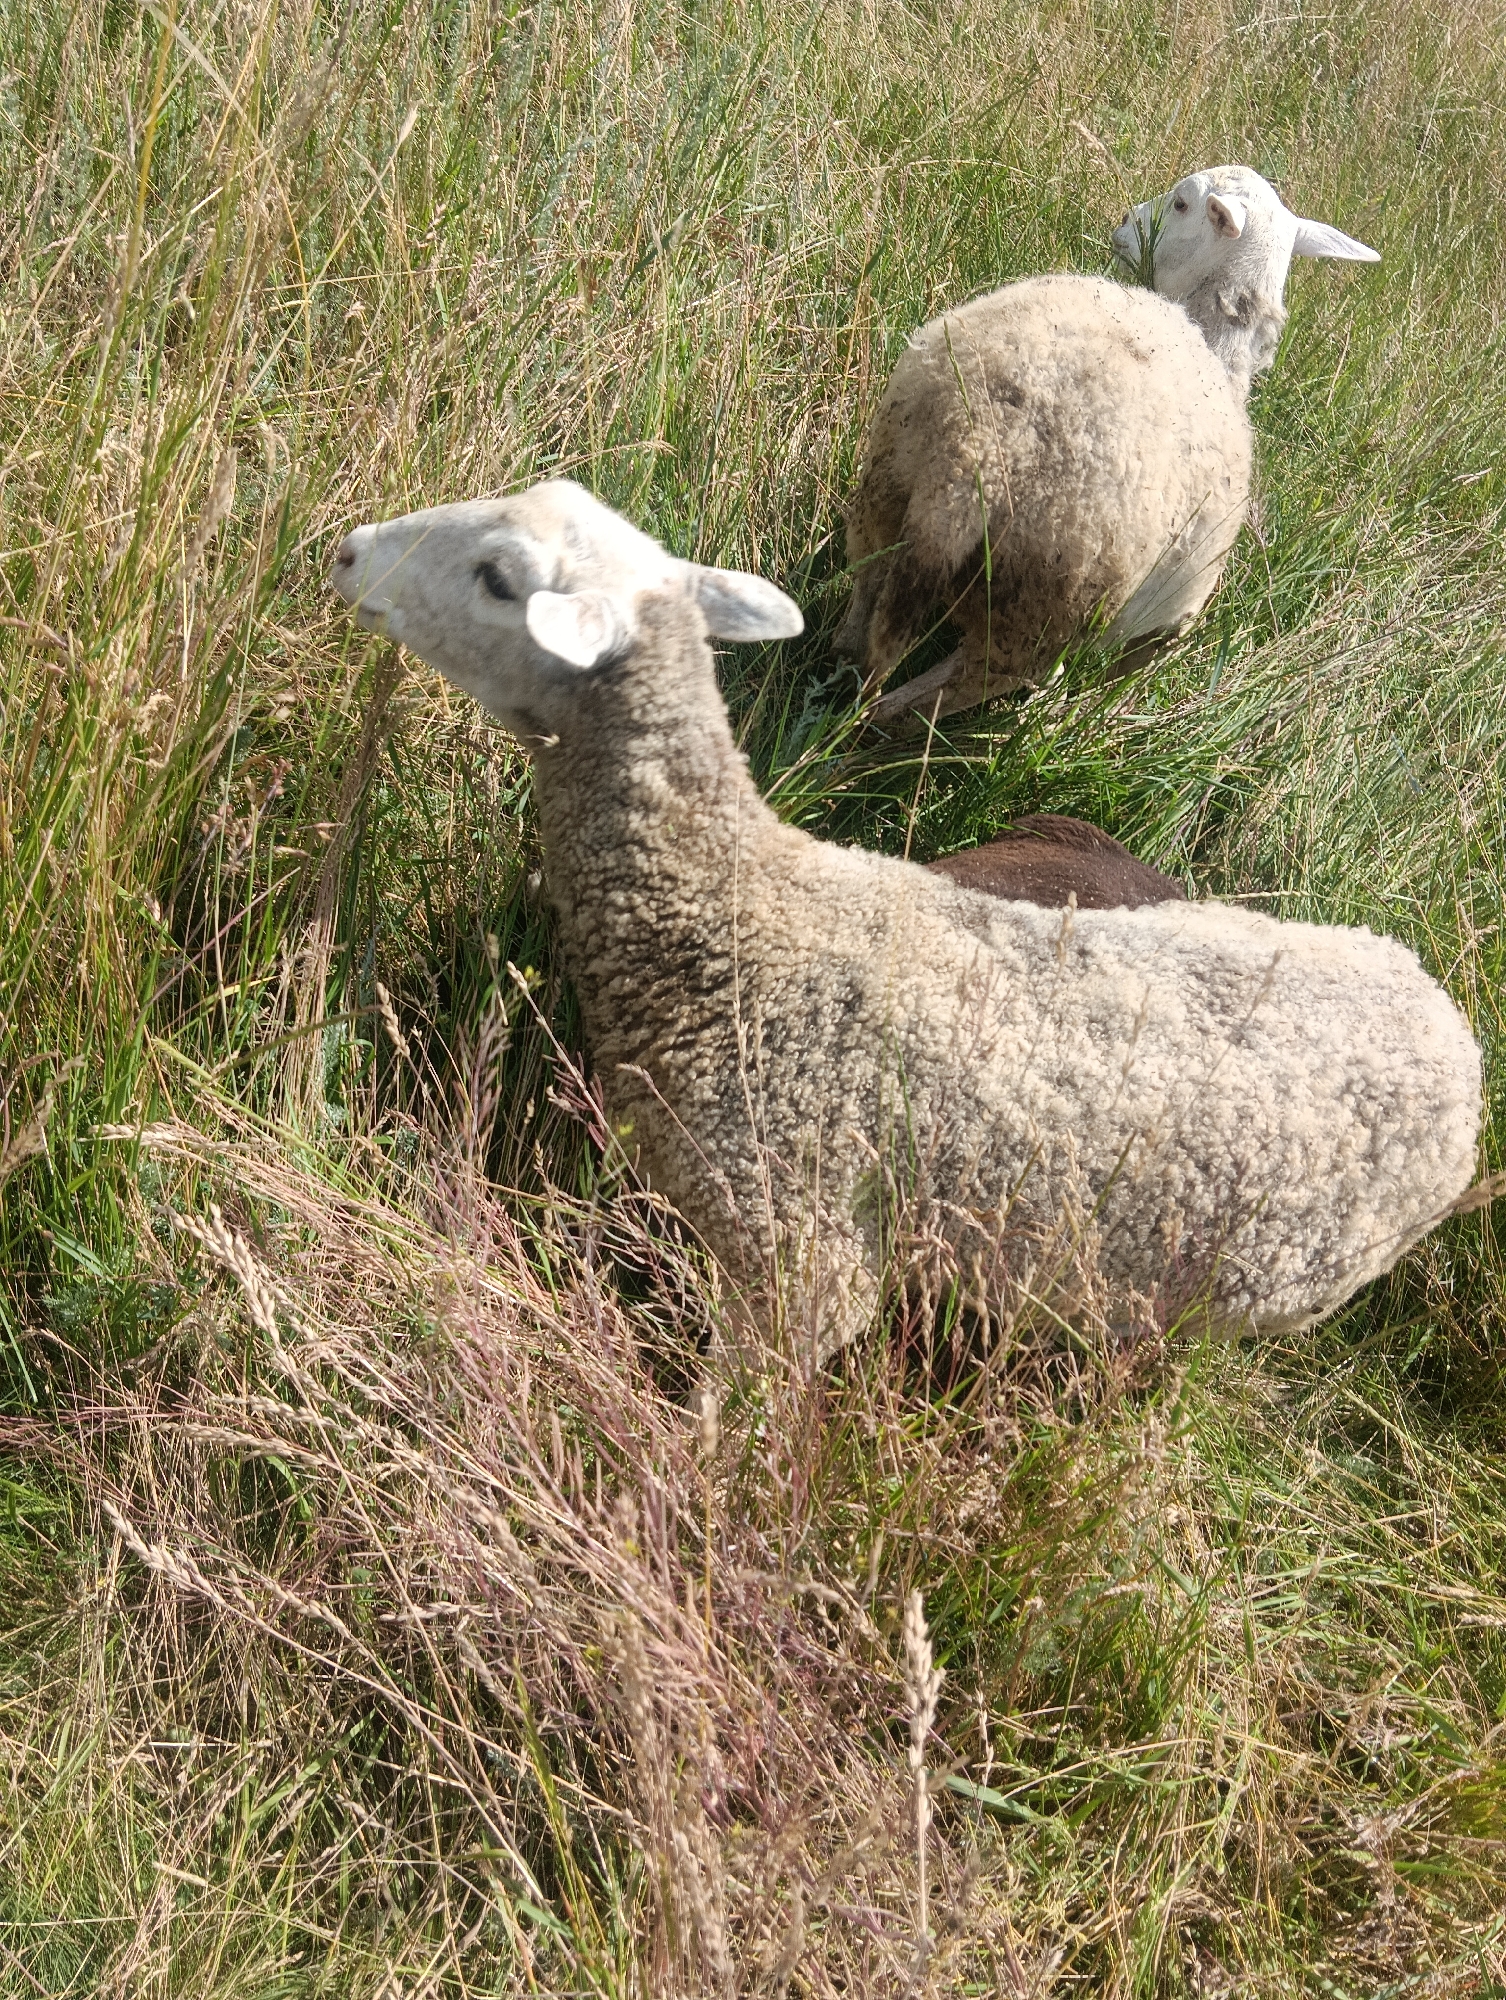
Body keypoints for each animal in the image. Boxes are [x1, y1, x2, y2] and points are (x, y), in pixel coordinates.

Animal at [836, 168, 1378, 723]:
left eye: (1180, 204)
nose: (1124, 221)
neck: (1216, 347)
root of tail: (979, 456)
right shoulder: (1168, 628)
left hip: (893, 490)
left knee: (866, 615)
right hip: (1037, 612)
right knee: (949, 686)